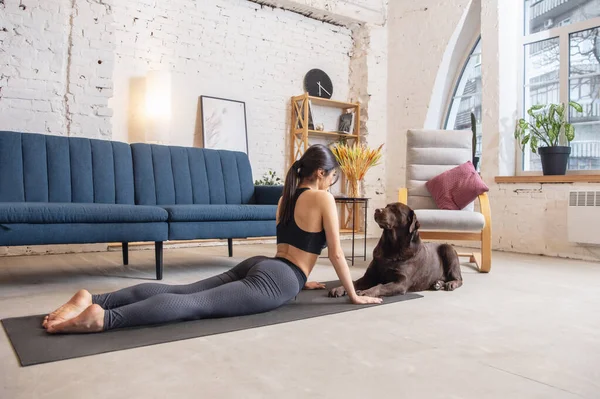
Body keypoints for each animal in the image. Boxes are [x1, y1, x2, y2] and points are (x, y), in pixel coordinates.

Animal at [328, 203, 464, 296]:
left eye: (396, 210)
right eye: (386, 206)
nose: (377, 210)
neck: (392, 246)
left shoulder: (401, 282)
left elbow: (380, 286)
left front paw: (366, 292)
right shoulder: (370, 276)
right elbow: (353, 282)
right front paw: (339, 289)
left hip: (448, 249)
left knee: (459, 278)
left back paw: (450, 284)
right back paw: (438, 283)